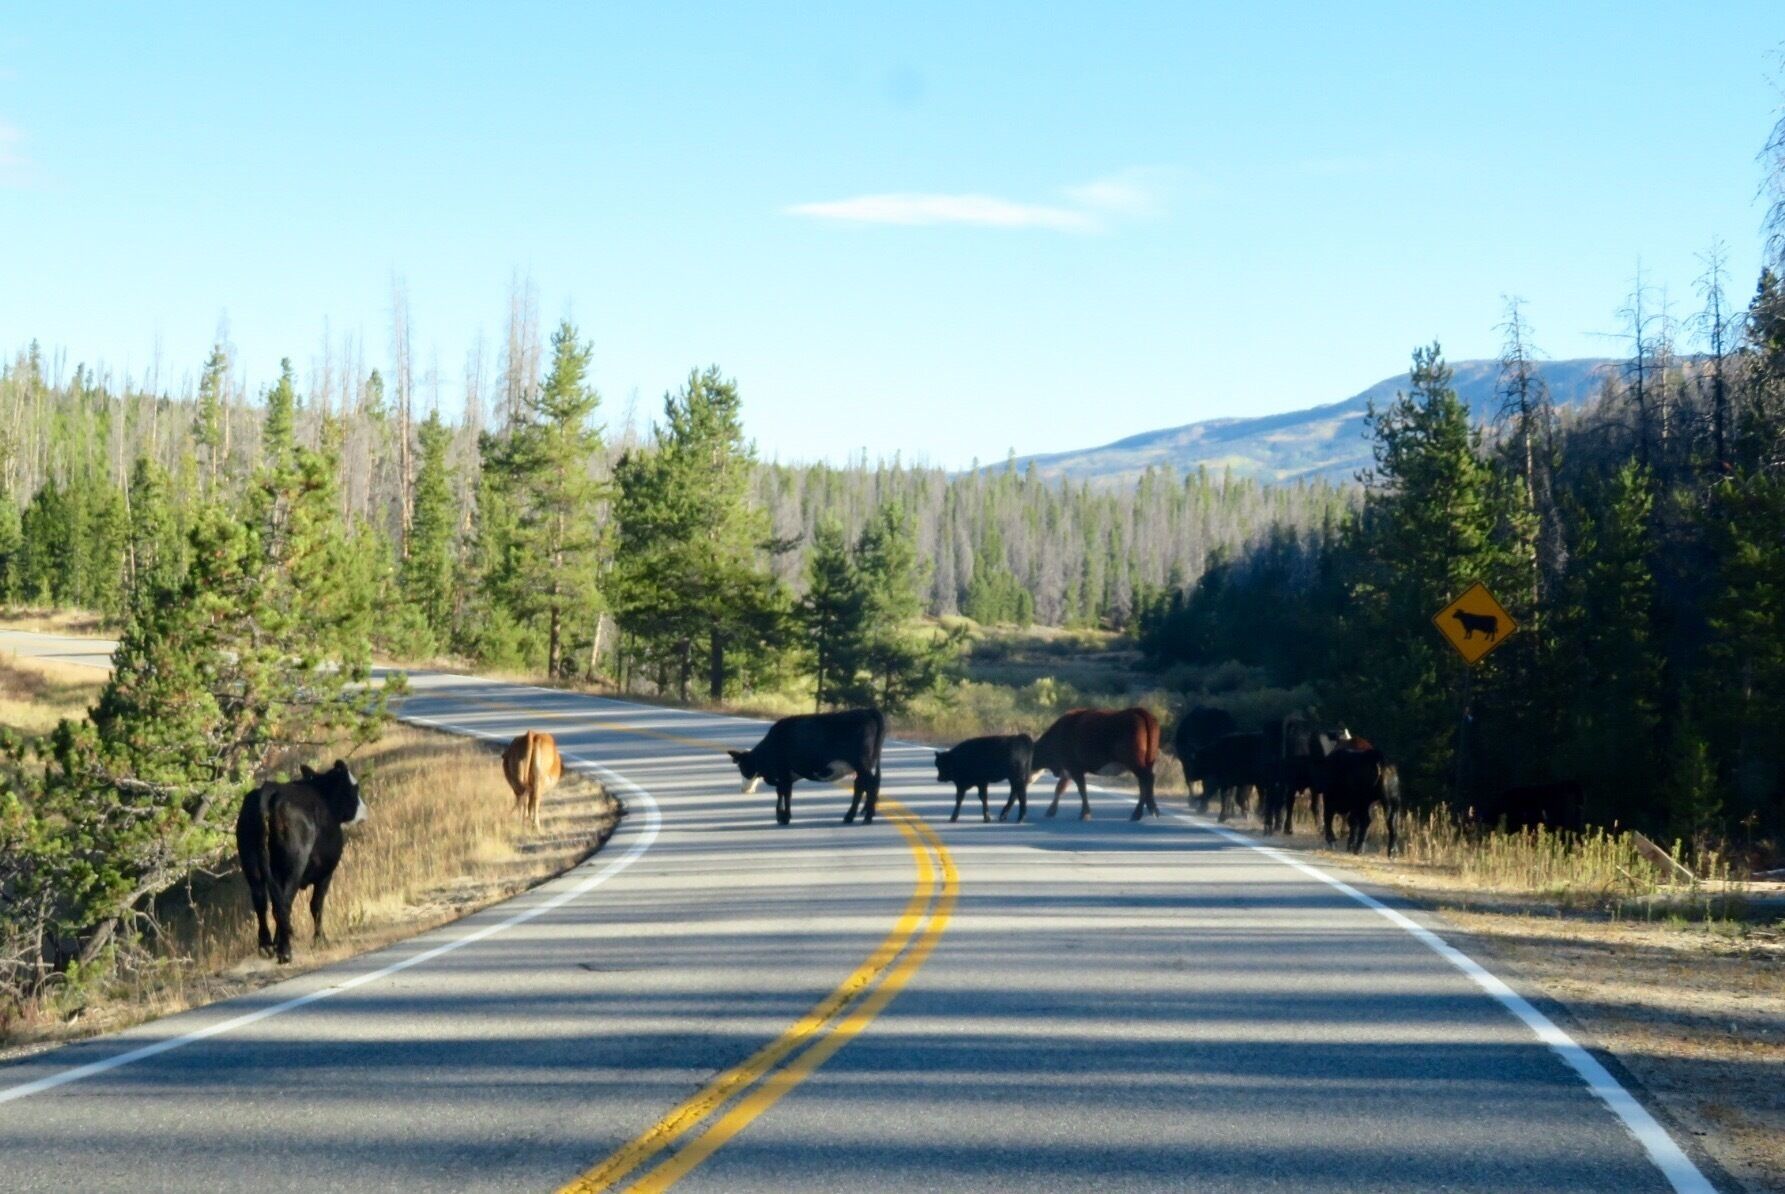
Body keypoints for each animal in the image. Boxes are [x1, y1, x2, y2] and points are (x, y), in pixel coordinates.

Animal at [235, 759, 367, 964]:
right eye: (354, 787)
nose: (363, 811)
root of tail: (269, 789)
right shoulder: (326, 873)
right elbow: (317, 905)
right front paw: (320, 940)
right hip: (294, 866)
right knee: (284, 903)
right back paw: (285, 952)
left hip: (252, 864)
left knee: (262, 902)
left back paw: (267, 946)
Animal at [729, 708, 886, 826]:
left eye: (743, 767)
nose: (743, 789)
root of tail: (868, 710)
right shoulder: (784, 775)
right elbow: (781, 792)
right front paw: (781, 816)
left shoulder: (784, 772)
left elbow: (785, 793)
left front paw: (784, 817)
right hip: (863, 765)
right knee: (861, 785)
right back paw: (852, 816)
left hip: (862, 763)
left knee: (869, 784)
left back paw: (867, 817)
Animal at [1032, 707, 1161, 821]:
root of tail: (1138, 711)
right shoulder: (1068, 769)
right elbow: (1060, 788)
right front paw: (1051, 811)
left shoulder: (1074, 768)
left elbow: (1081, 789)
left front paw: (1085, 813)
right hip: (1148, 761)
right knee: (1145, 782)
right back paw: (1149, 809)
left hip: (1135, 762)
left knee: (1147, 779)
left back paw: (1140, 813)